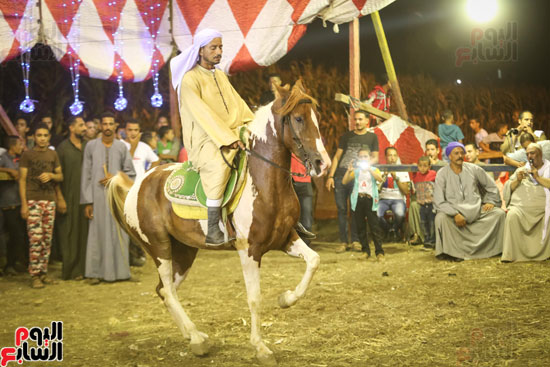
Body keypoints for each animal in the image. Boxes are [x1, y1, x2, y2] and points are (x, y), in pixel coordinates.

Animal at [106, 80, 332, 366]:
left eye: (317, 118)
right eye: (299, 119)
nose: (323, 163)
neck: (265, 182)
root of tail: (138, 185)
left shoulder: (286, 238)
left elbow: (314, 261)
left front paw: (286, 299)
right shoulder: (249, 251)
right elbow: (254, 298)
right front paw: (260, 347)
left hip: (184, 252)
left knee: (165, 291)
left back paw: (192, 336)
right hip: (159, 248)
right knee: (167, 289)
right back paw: (197, 338)